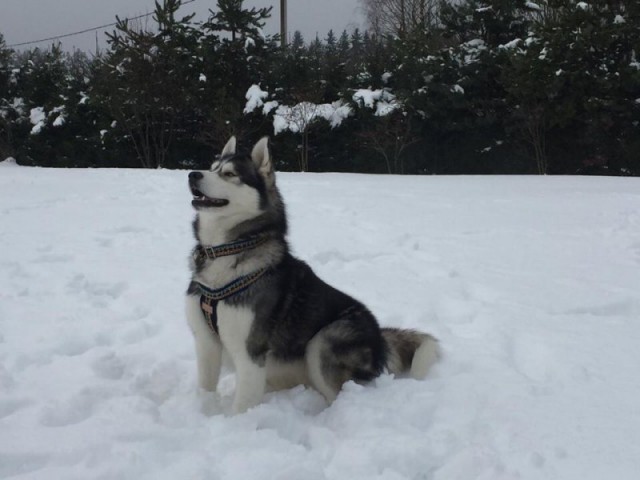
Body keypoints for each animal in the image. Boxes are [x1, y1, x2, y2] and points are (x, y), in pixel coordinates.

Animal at [182, 136, 438, 412]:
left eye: (229, 174)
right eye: (212, 167)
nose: (193, 174)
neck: (227, 250)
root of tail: (380, 338)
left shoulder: (250, 352)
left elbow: (242, 407)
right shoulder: (205, 344)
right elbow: (205, 388)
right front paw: (204, 410)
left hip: (325, 340)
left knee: (337, 392)